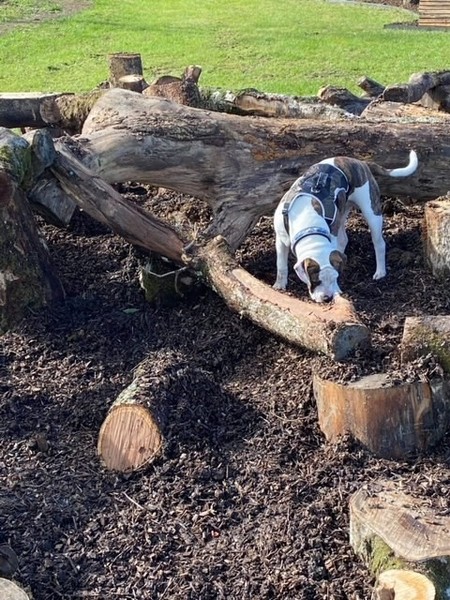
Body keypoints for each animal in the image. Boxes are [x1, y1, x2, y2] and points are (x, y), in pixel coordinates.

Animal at [273, 150, 418, 303]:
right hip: (342, 211)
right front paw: (279, 285)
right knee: (343, 239)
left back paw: (380, 271)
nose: (327, 298)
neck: (309, 227)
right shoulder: (280, 240)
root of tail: (360, 162)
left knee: (379, 243)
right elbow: (281, 265)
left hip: (372, 212)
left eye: (334, 279)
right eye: (316, 281)